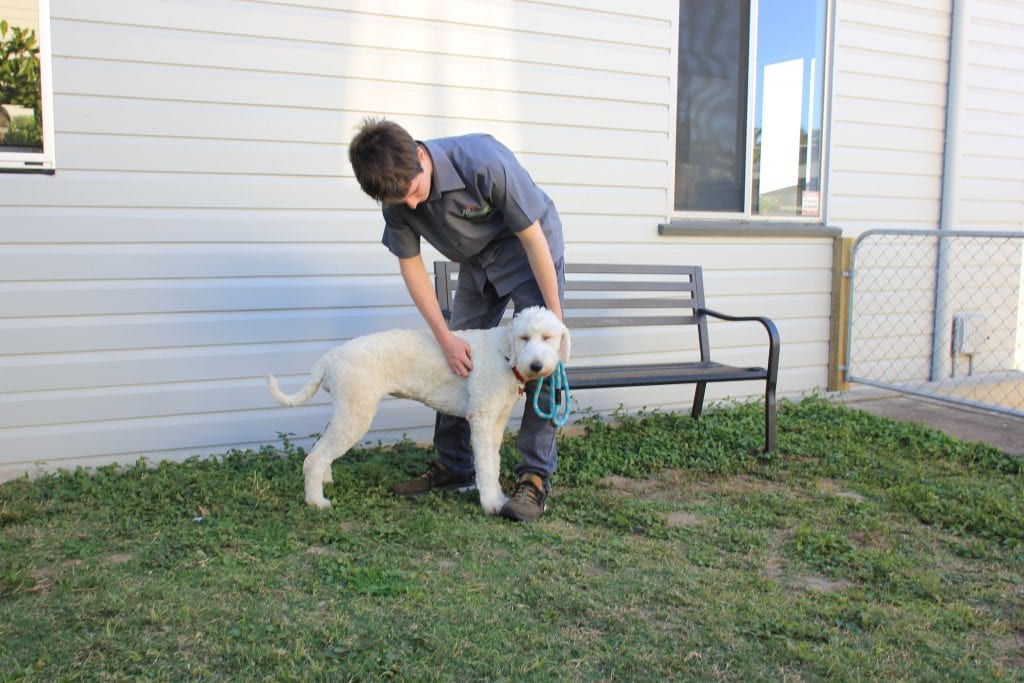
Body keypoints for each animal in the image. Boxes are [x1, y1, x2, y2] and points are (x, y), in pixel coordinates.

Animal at [264, 307, 569, 516]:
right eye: (524, 338)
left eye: (548, 337)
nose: (537, 365)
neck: (505, 354)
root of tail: (331, 356)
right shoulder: (482, 421)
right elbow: (484, 467)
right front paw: (491, 504)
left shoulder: (495, 423)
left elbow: (492, 465)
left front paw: (499, 499)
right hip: (355, 413)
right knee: (314, 458)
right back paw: (316, 500)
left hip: (347, 409)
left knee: (320, 449)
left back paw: (324, 480)